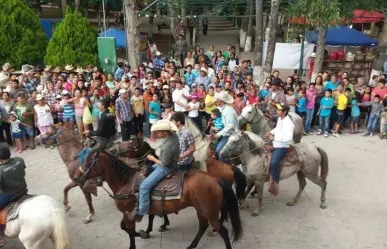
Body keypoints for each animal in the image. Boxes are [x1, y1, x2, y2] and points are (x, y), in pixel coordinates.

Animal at [73, 147, 242, 248]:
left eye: (89, 162)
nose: (76, 178)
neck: (126, 182)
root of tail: (215, 180)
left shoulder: (130, 213)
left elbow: (130, 231)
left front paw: (140, 234)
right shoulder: (127, 213)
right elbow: (124, 227)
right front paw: (145, 232)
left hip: (209, 211)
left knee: (222, 230)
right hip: (201, 209)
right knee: (203, 226)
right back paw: (192, 245)